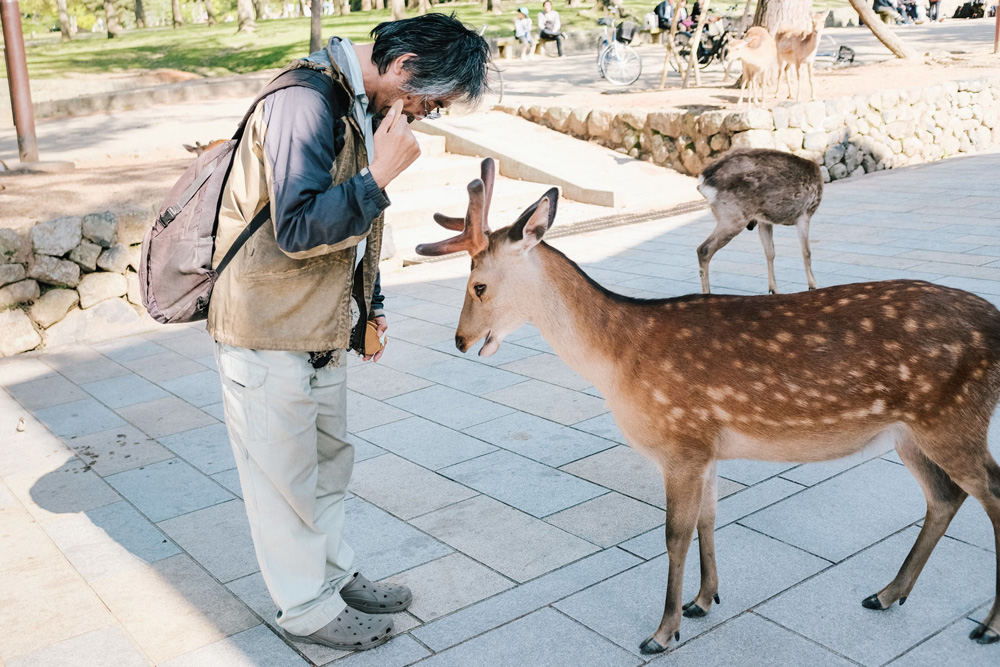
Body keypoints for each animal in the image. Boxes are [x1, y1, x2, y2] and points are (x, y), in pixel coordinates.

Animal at [696, 149, 820, 294]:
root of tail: (703, 183)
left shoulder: (764, 220)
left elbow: (770, 252)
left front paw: (773, 289)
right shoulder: (805, 213)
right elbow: (806, 252)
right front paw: (813, 285)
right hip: (734, 217)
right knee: (704, 249)